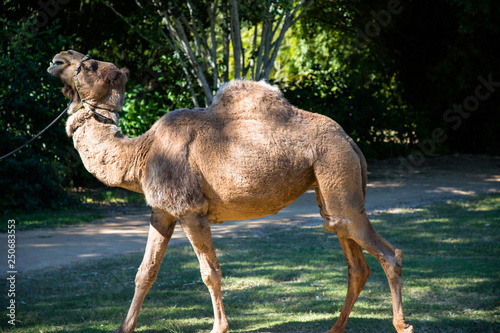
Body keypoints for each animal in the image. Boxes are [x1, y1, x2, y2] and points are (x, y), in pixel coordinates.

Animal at [47, 50, 414, 332]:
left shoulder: (191, 211)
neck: (142, 153)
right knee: (353, 256)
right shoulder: (162, 212)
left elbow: (210, 272)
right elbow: (145, 273)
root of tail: (350, 141)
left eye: (91, 65)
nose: (57, 58)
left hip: (336, 170)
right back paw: (335, 327)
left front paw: (218, 327)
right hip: (330, 189)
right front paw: (124, 327)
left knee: (387, 252)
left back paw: (402, 324)